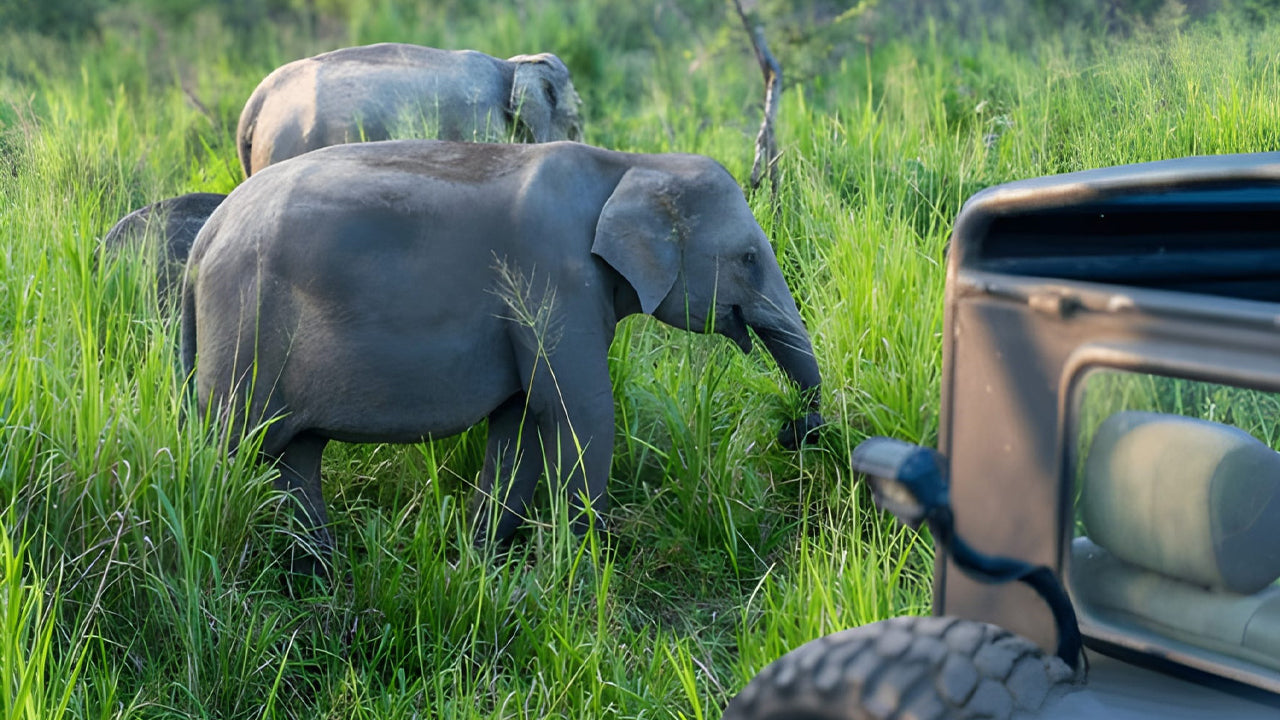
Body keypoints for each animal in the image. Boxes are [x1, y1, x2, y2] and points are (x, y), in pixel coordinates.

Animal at [181, 139, 823, 575]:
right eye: (748, 258)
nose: (791, 430)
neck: (628, 162)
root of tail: (203, 241)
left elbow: (519, 423)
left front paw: (477, 562)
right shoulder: (552, 278)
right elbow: (578, 413)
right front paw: (582, 566)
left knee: (296, 456)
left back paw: (326, 571)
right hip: (245, 330)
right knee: (233, 448)